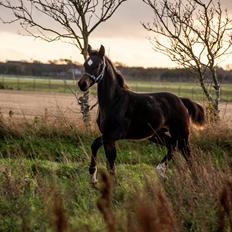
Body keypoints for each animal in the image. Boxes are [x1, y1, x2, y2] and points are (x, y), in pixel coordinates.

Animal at [78, 44, 205, 183]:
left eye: (98, 65)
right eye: (85, 64)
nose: (82, 84)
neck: (114, 101)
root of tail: (181, 100)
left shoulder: (114, 134)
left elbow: (99, 148)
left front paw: (96, 177)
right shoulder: (108, 136)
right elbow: (106, 156)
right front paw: (97, 178)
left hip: (182, 134)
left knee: (187, 155)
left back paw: (195, 179)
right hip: (156, 134)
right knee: (172, 145)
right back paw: (161, 171)